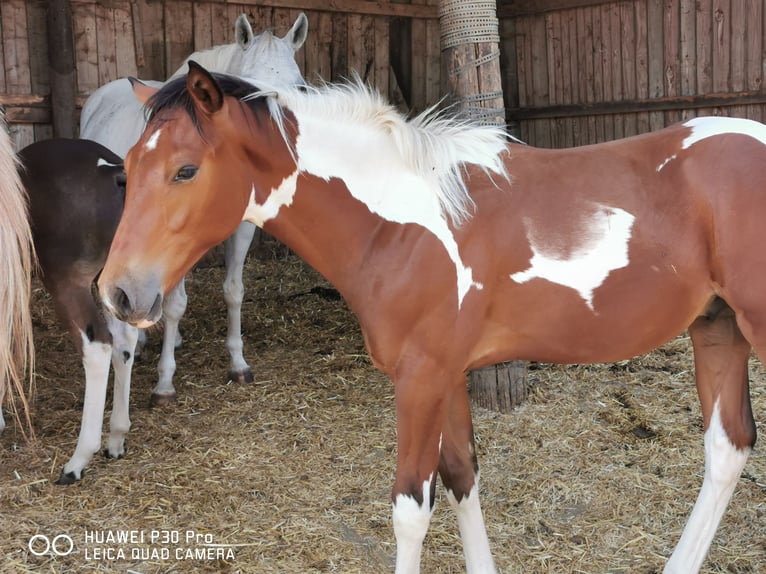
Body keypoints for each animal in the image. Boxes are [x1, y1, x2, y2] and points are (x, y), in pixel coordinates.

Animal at [17, 138, 140, 484]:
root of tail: (112, 172)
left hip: (68, 284)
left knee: (99, 346)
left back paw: (78, 460)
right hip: (111, 281)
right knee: (124, 341)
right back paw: (116, 437)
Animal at [80, 12, 308, 406]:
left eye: (301, 89)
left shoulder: (242, 229)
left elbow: (233, 290)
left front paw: (238, 364)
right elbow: (174, 305)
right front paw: (164, 383)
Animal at [97, 62, 763, 573]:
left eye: (185, 169)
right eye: (126, 170)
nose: (119, 293)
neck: (400, 223)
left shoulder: (420, 379)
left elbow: (411, 509)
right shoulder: (449, 375)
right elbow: (463, 474)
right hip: (717, 328)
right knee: (726, 449)